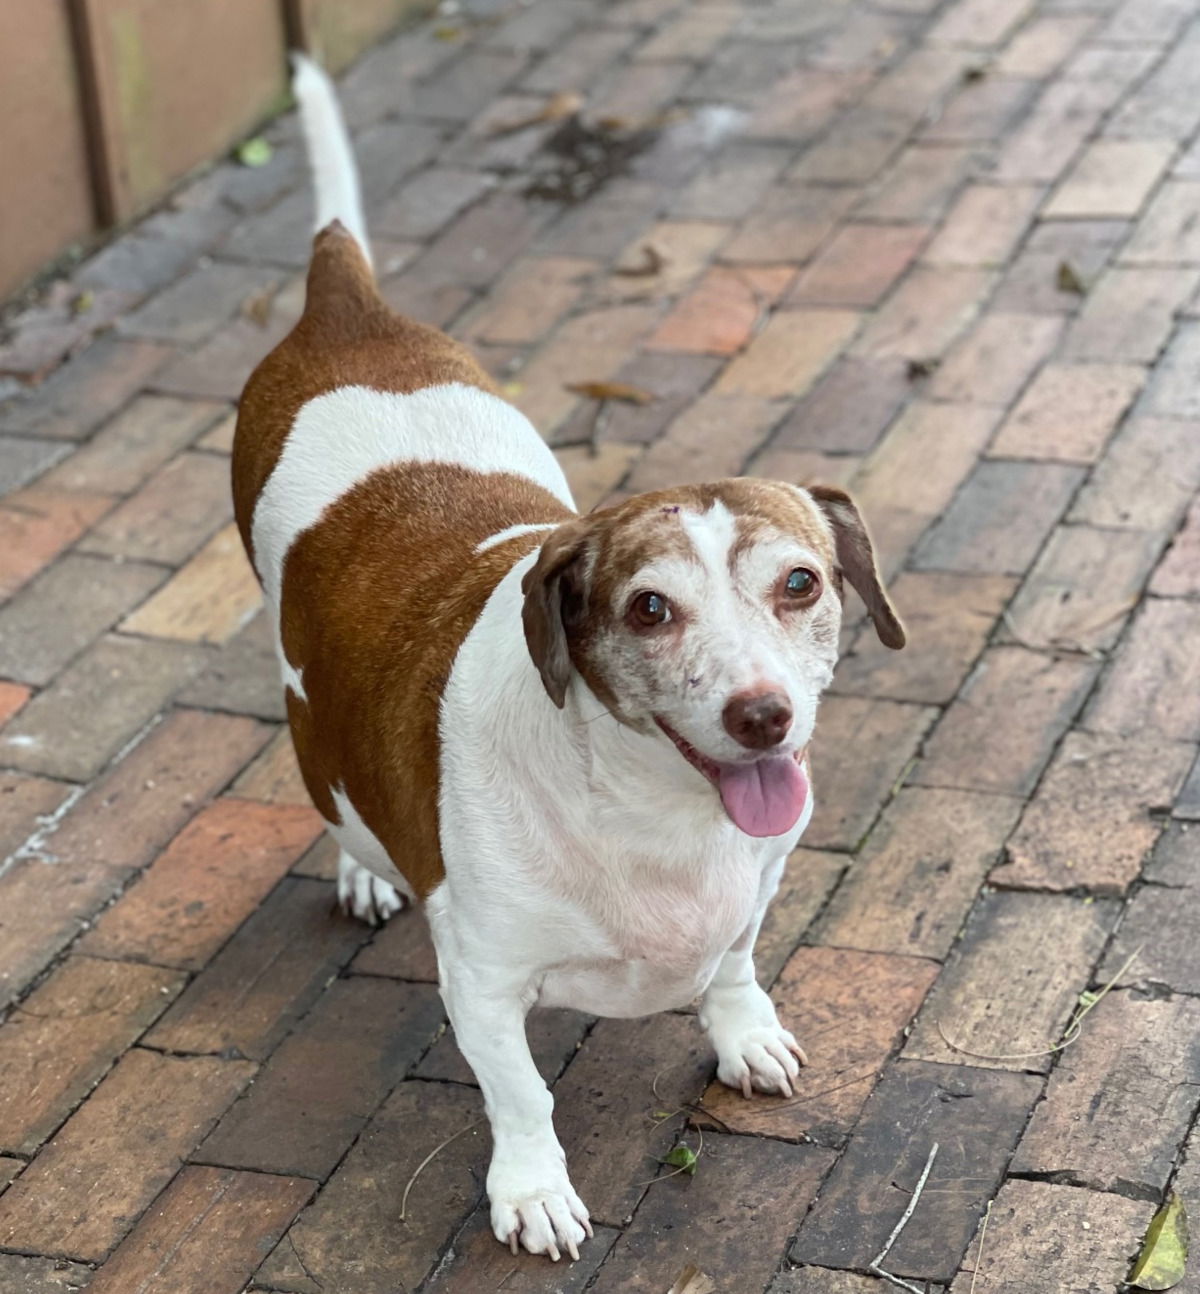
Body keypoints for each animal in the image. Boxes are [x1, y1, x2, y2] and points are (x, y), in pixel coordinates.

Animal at [230, 58, 906, 1262]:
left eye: (800, 583)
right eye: (649, 608)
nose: (765, 717)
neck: (653, 812)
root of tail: (347, 313)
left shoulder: (756, 884)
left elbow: (734, 964)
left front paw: (743, 1031)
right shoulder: (482, 978)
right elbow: (521, 1093)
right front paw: (534, 1189)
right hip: (299, 691)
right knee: (326, 775)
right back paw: (360, 864)